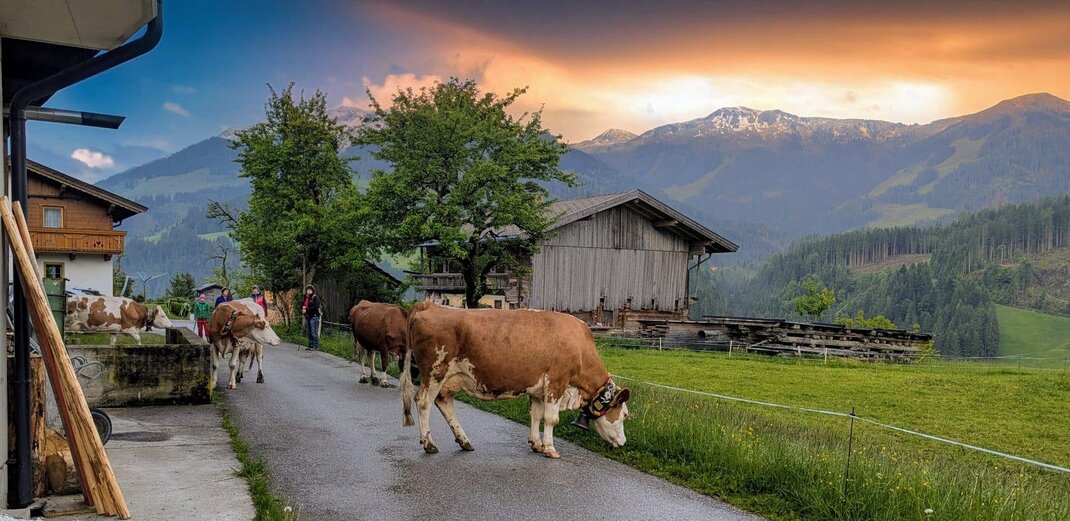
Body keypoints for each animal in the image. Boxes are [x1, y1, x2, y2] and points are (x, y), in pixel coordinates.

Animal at [400, 302, 631, 458]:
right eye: (624, 415)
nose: (623, 442)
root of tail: (429, 305)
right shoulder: (556, 382)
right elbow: (551, 418)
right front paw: (550, 448)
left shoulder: (538, 389)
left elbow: (536, 415)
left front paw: (536, 444)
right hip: (435, 371)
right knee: (424, 402)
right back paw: (429, 444)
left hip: (448, 377)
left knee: (444, 402)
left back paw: (464, 441)